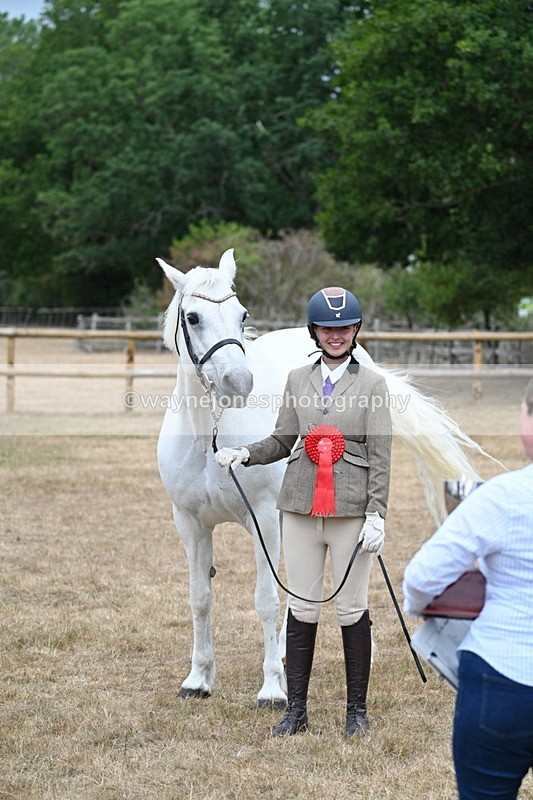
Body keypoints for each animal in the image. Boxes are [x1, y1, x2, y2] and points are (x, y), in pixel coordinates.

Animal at [156, 248, 488, 706]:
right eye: (192, 317)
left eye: (243, 315)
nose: (238, 383)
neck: (210, 439)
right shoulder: (189, 523)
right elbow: (200, 599)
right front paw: (198, 679)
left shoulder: (262, 520)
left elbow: (265, 599)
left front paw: (272, 688)